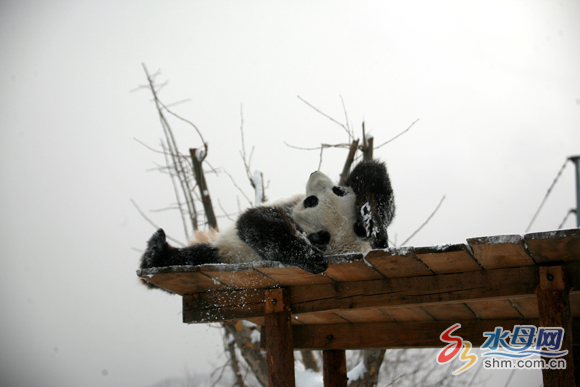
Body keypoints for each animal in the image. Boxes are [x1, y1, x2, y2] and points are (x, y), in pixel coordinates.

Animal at [140, 159, 394, 286]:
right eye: (338, 190)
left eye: (312, 201)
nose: (315, 173)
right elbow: (371, 172)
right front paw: (372, 220)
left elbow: (254, 223)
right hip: (222, 250)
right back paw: (156, 250)